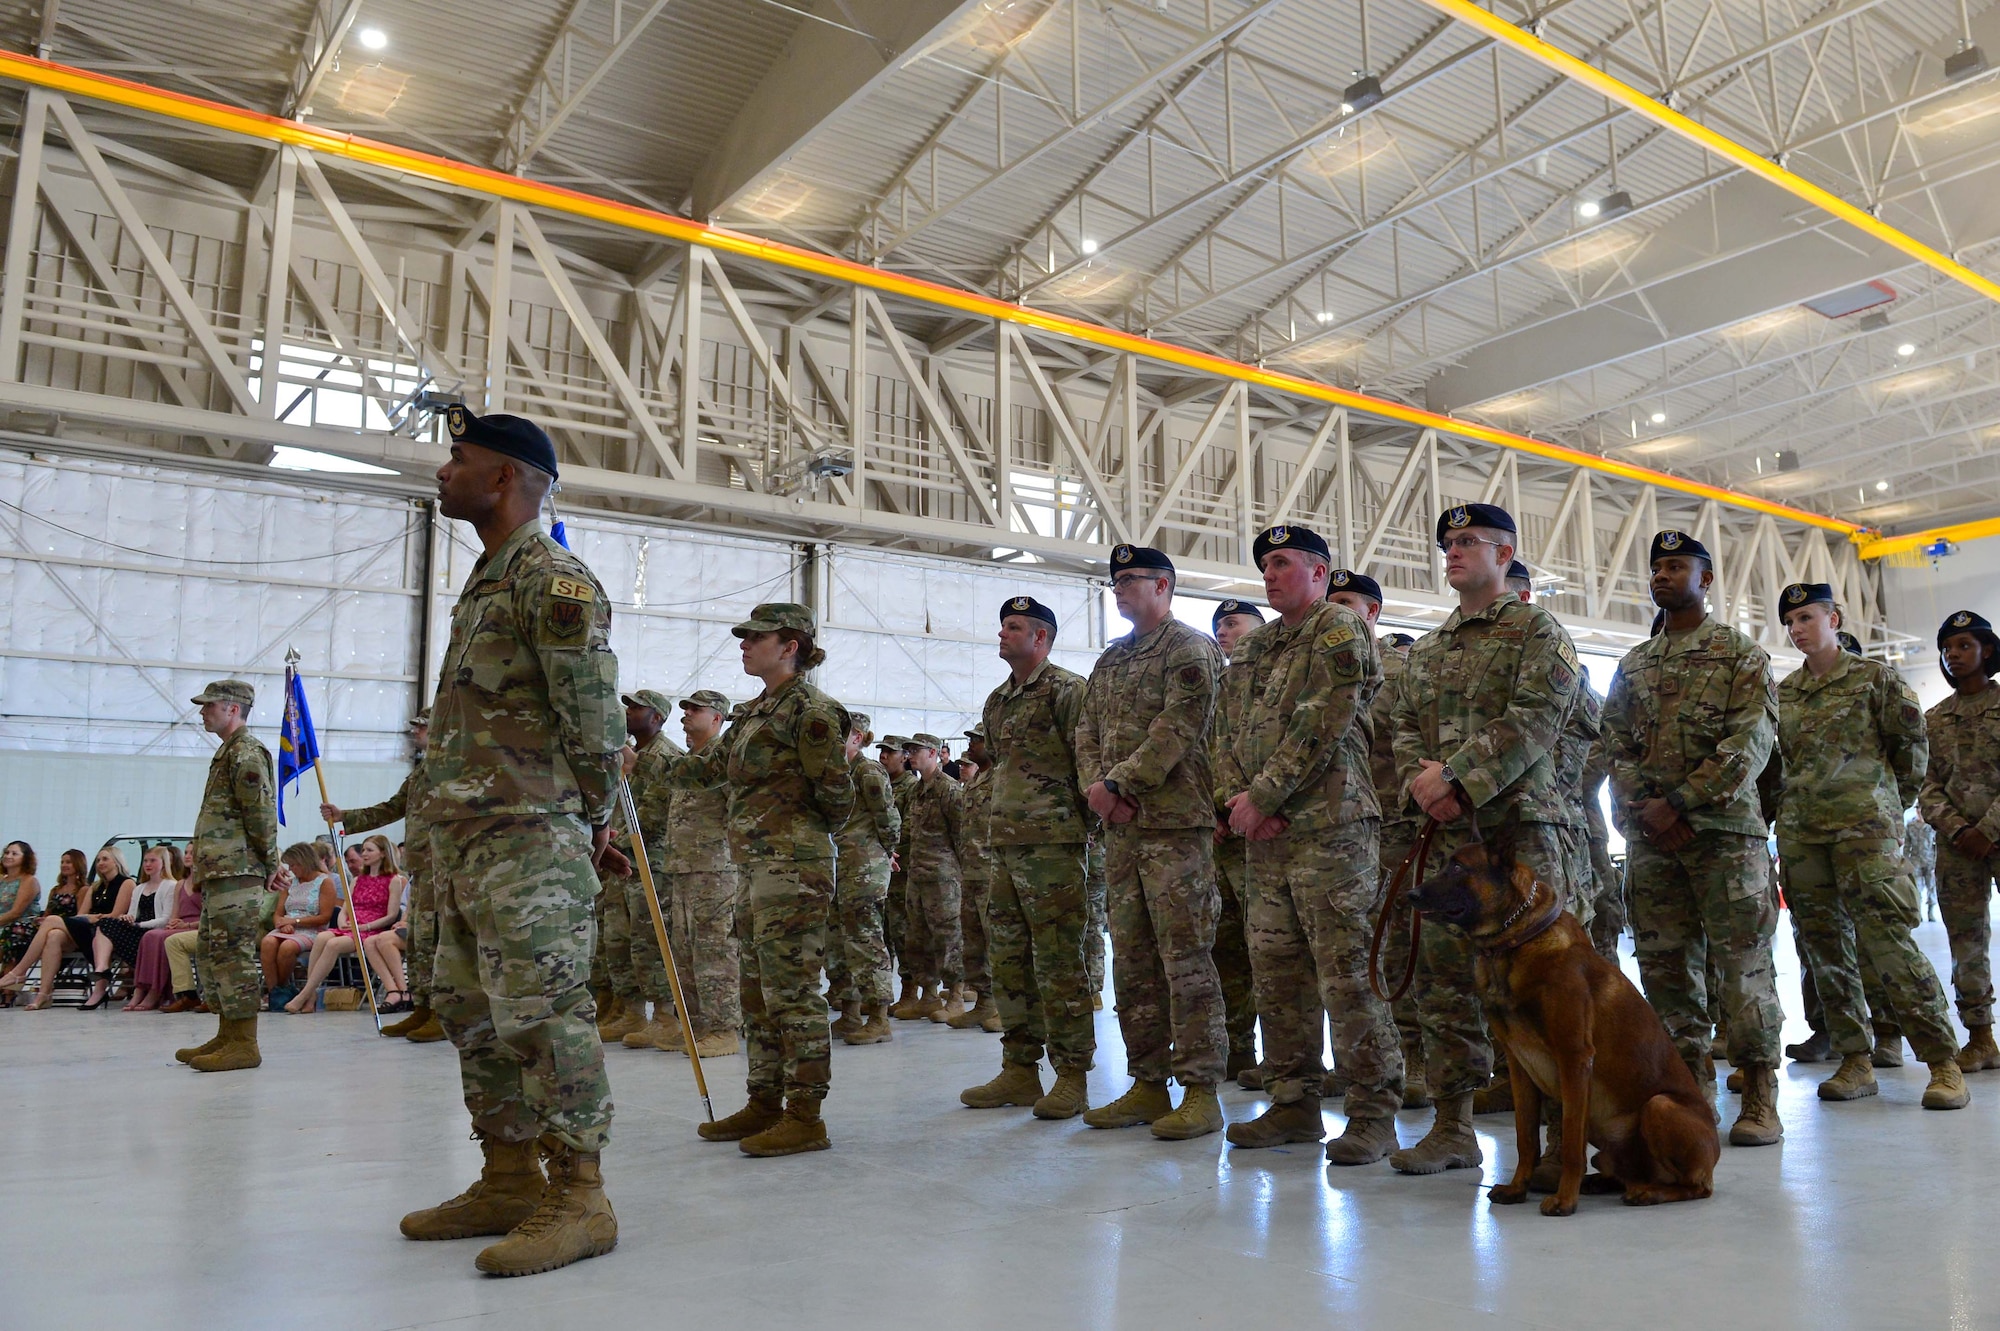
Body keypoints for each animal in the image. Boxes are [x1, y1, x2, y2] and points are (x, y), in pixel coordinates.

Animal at [1408, 835, 1720, 1215]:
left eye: (1457, 867)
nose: (1410, 895)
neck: (1515, 941)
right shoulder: (1520, 1067)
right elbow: (1526, 1139)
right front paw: (1518, 1188)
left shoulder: (1574, 1058)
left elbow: (1571, 1141)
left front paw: (1564, 1199)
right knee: (1621, 1170)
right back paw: (1604, 1182)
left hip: (1659, 1106)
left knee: (1694, 1187)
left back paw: (1648, 1192)